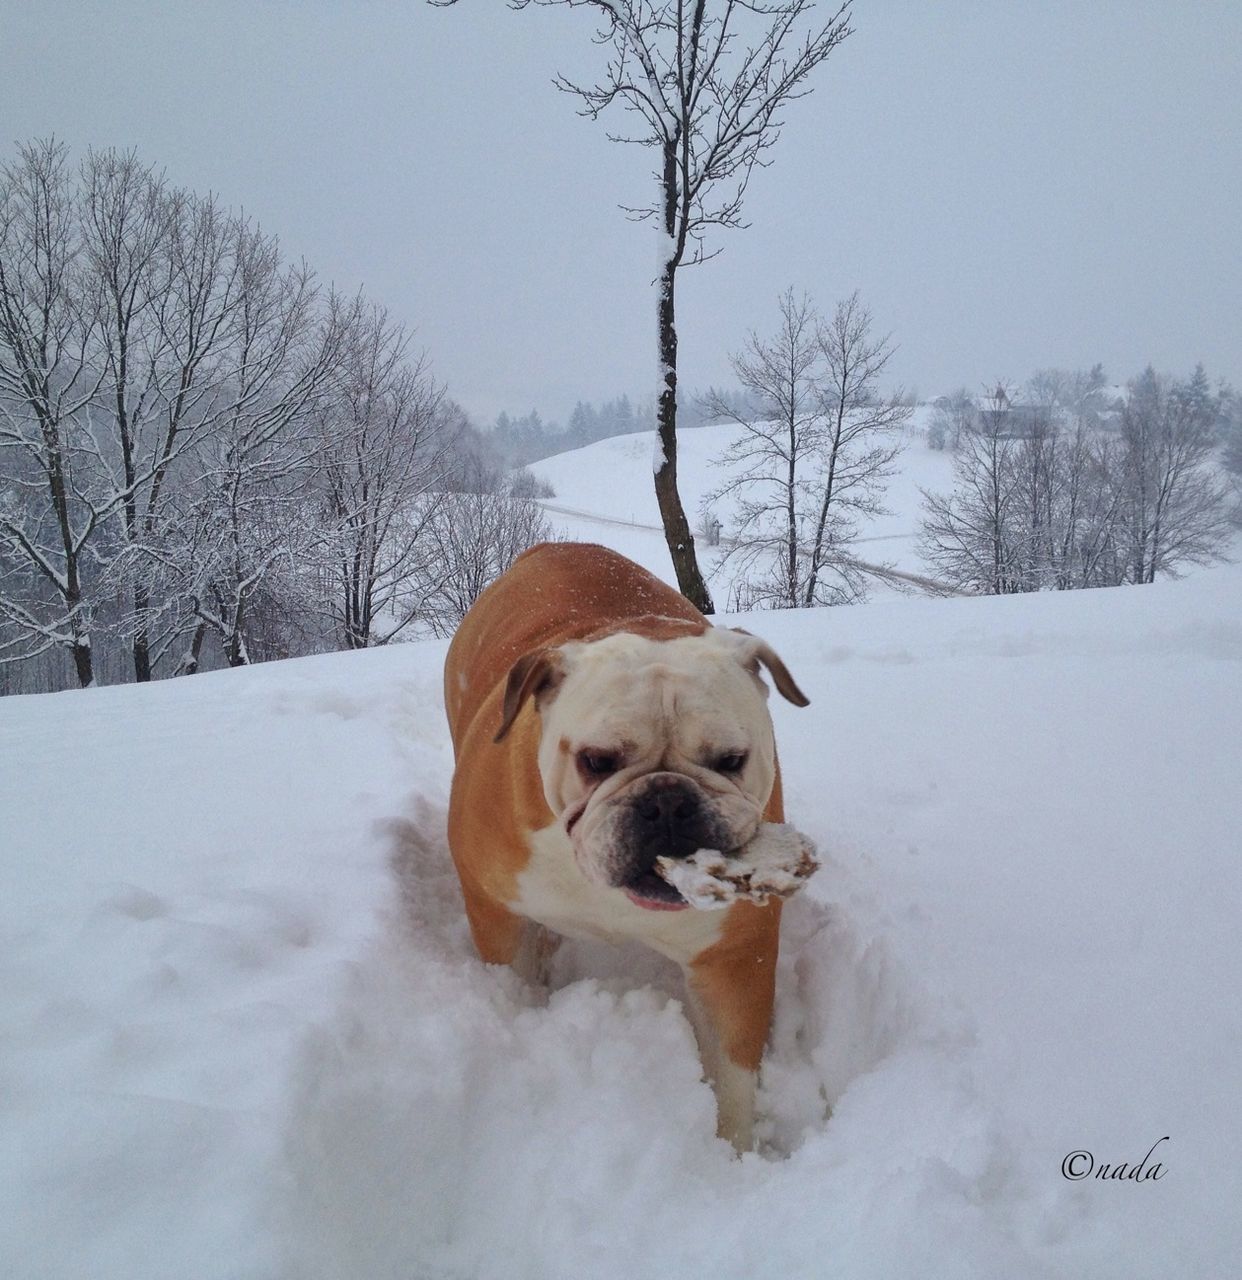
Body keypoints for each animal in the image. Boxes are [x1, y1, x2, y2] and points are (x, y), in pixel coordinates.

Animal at [440, 542, 809, 1152]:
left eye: (731, 760)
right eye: (596, 760)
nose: (667, 801)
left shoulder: (731, 956)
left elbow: (733, 1074)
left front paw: (733, 1154)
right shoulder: (495, 909)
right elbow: (515, 973)